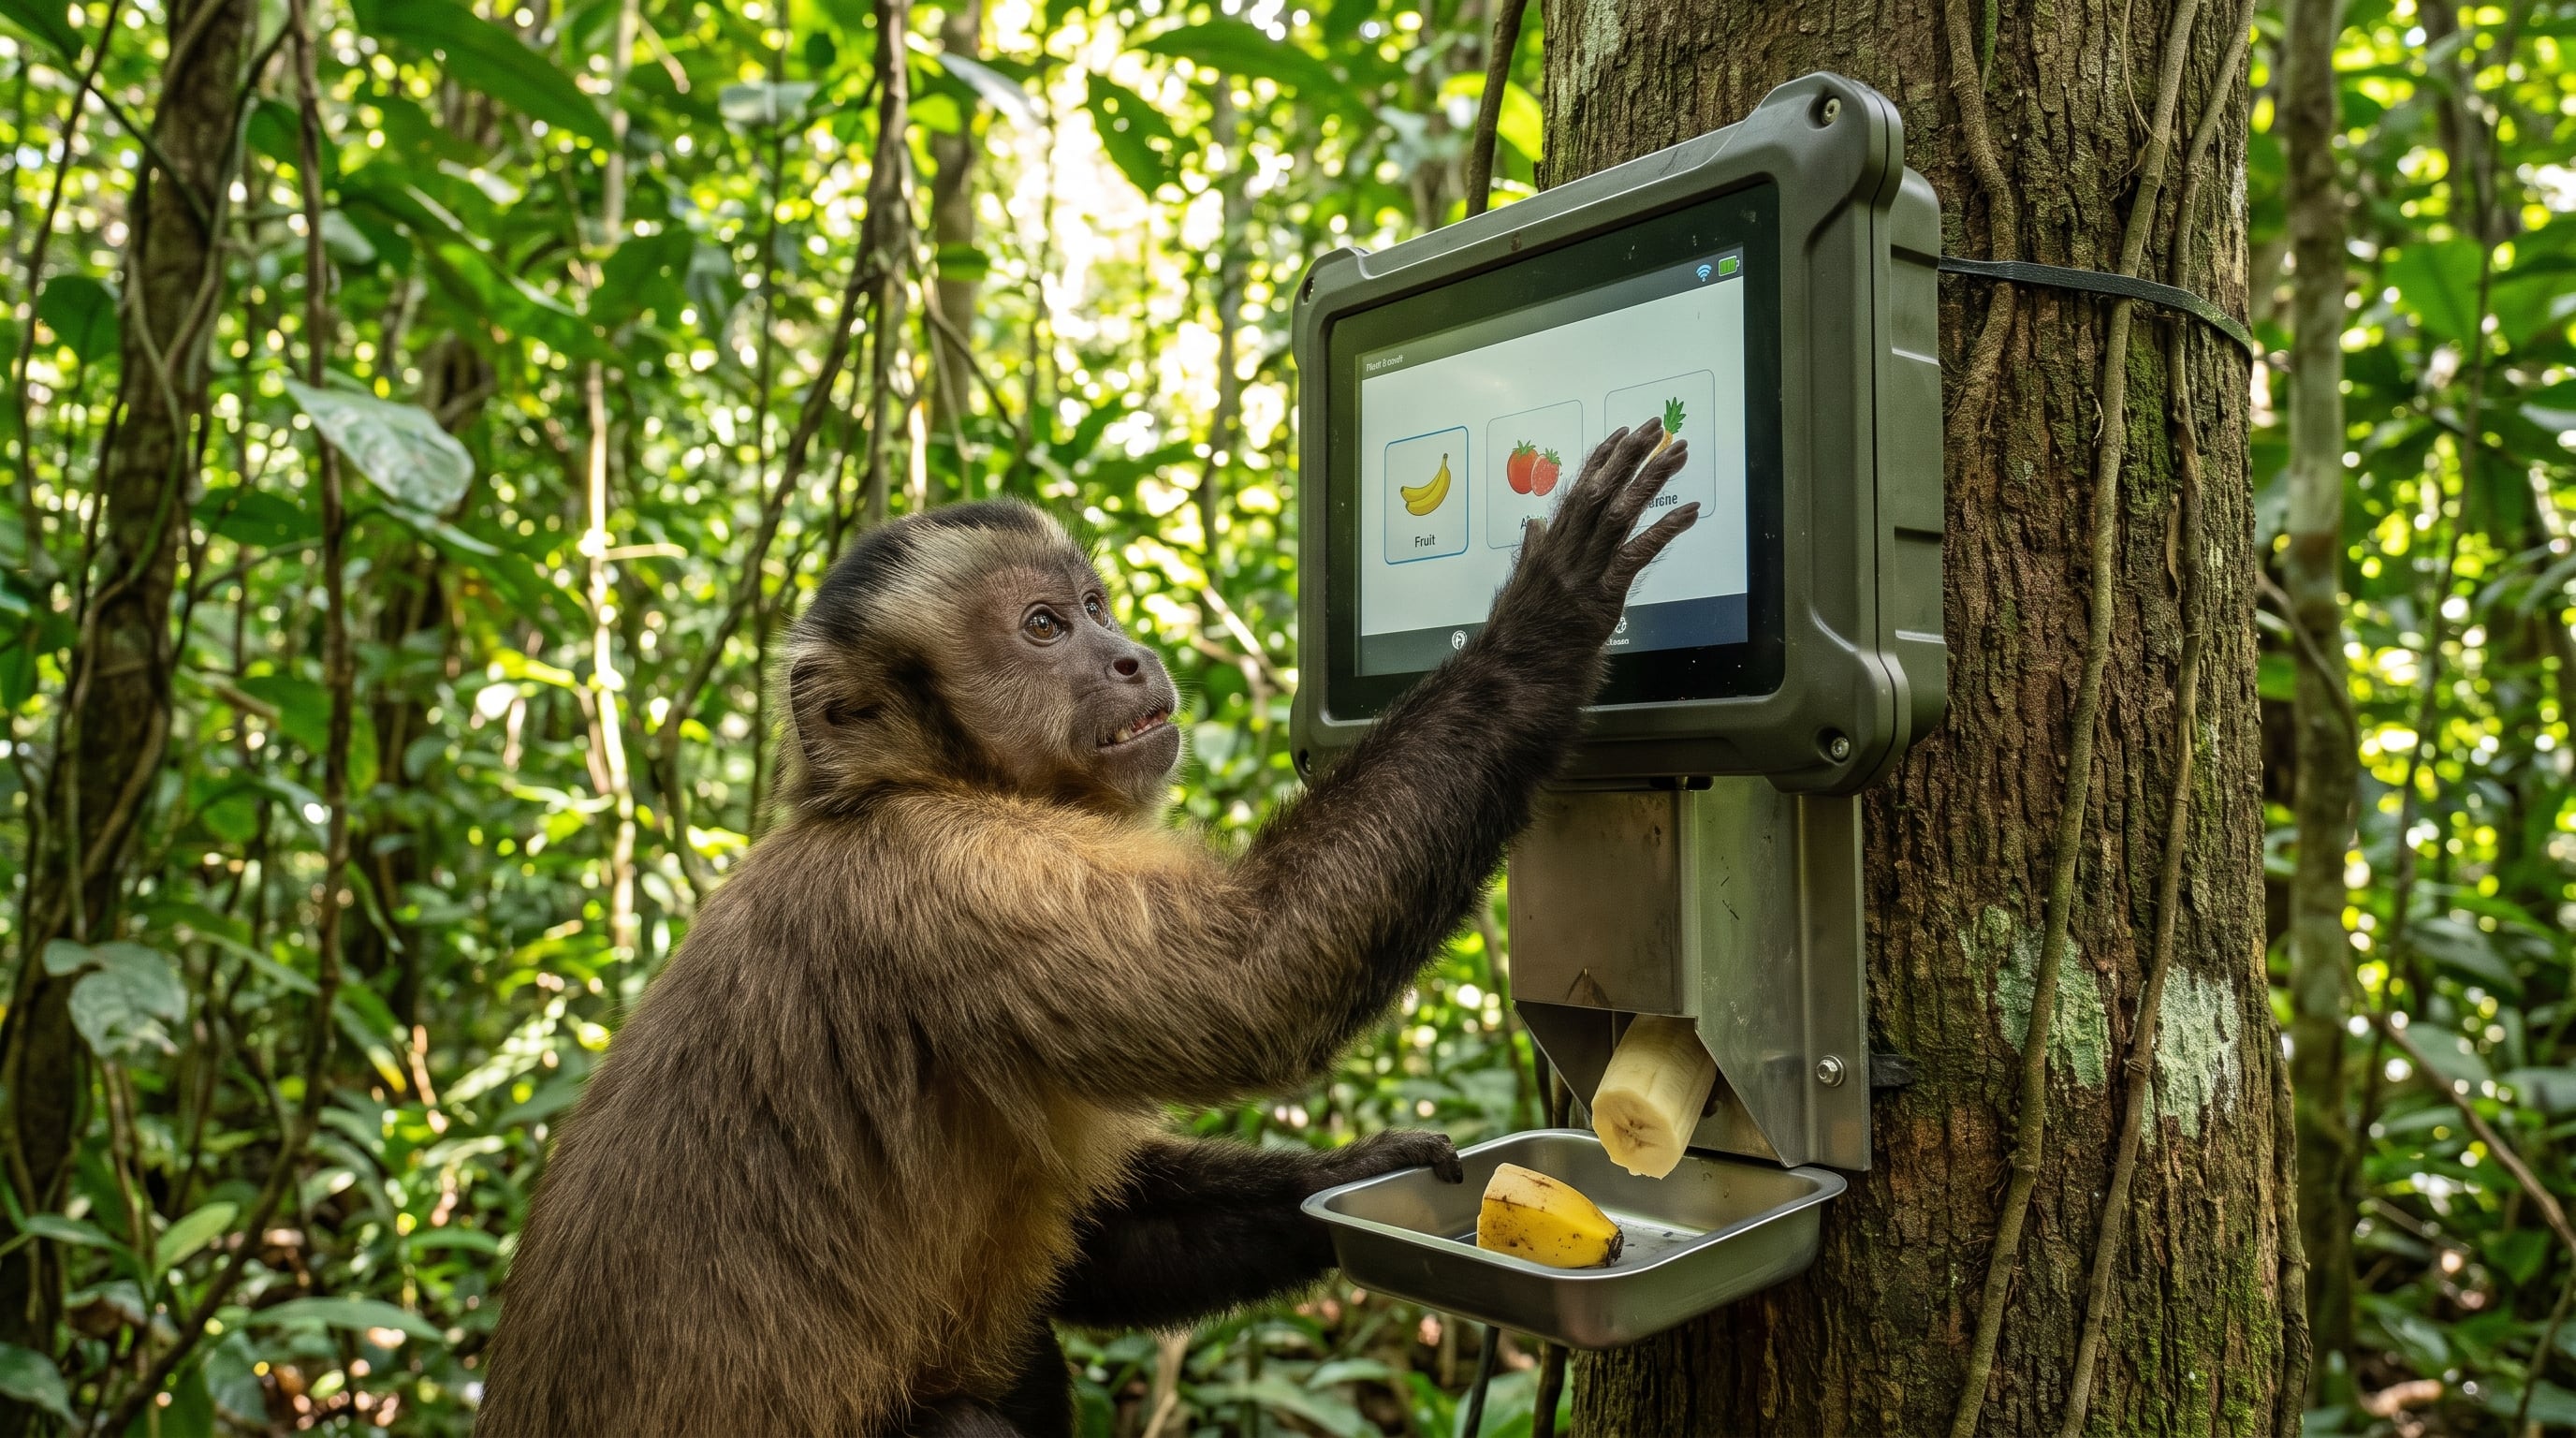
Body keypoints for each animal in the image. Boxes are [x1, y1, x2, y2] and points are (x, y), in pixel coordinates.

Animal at [472, 420, 1696, 1438]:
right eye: (1042, 626)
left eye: (1097, 606)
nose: (1130, 654)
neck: (913, 783)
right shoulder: (951, 878)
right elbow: (1257, 979)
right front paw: (1545, 619)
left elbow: (1105, 1244)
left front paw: (1362, 1180)